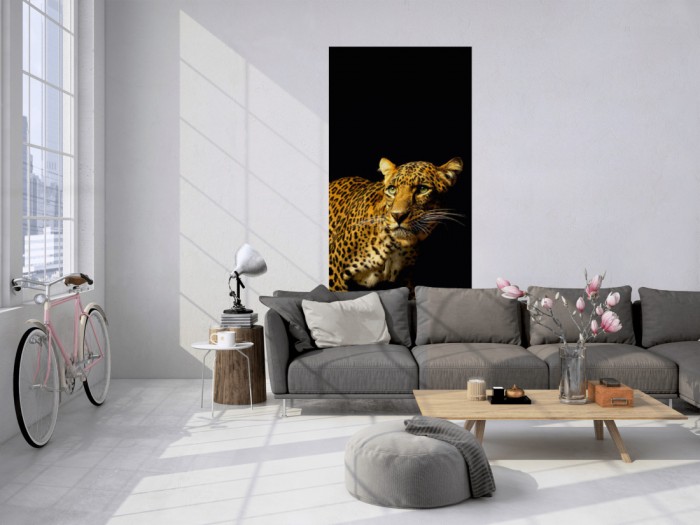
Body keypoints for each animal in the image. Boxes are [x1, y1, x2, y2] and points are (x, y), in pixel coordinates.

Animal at [329, 157, 463, 292]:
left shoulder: (407, 278)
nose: (398, 215)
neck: (393, 246)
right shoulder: (335, 273)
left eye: (422, 189)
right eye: (392, 189)